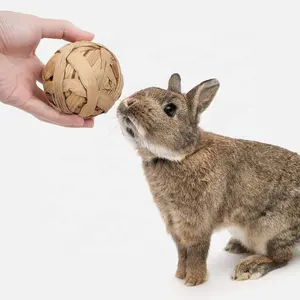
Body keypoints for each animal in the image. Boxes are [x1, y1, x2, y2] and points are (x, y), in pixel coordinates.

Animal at [116, 72, 300, 286]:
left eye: (170, 109)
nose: (128, 102)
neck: (185, 154)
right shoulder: (174, 223)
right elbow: (181, 252)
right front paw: (179, 275)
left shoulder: (197, 222)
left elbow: (197, 251)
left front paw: (193, 281)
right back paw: (235, 247)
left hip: (270, 232)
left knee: (281, 258)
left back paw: (248, 267)